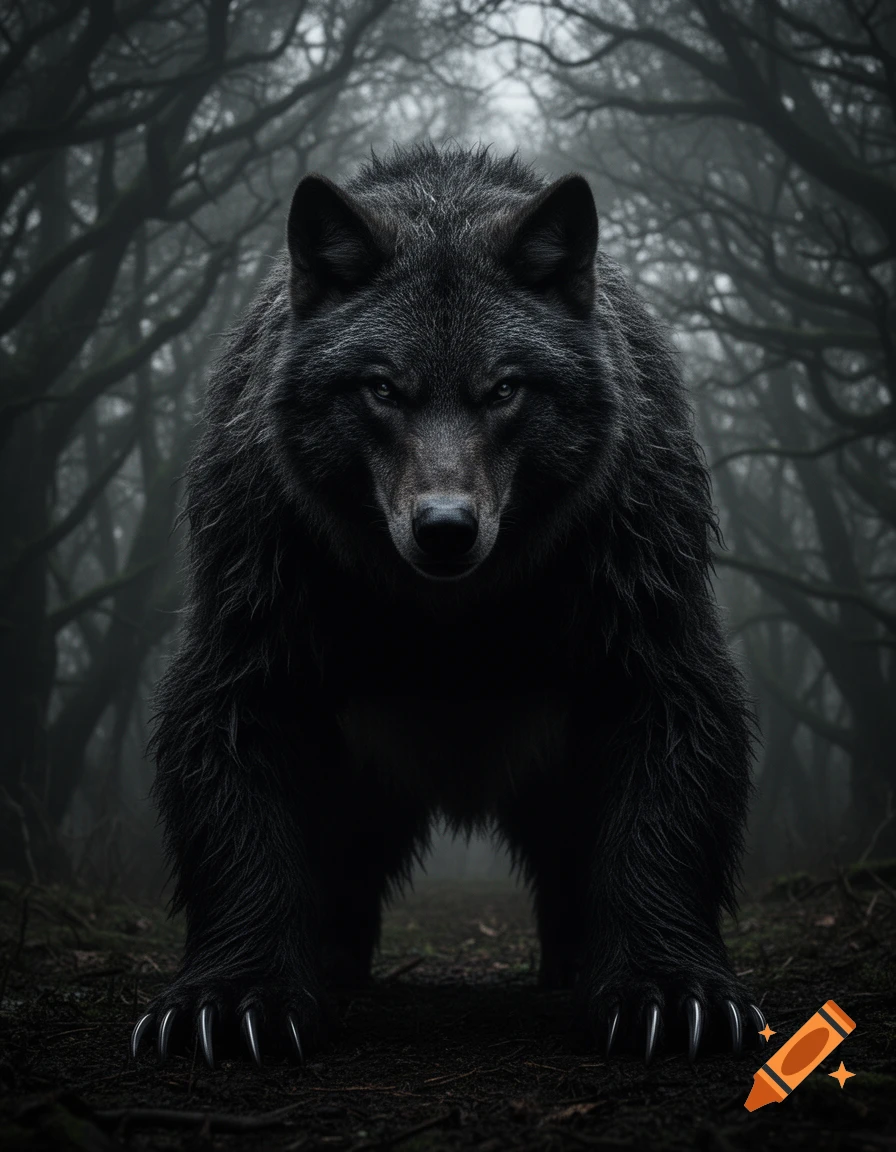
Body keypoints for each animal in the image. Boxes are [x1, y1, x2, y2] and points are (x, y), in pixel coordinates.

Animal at [131, 143, 763, 1069]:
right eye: (382, 388)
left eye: (503, 388)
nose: (444, 530)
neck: (454, 623)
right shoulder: (254, 641)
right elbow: (242, 829)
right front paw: (233, 996)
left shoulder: (647, 643)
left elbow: (660, 825)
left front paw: (671, 991)